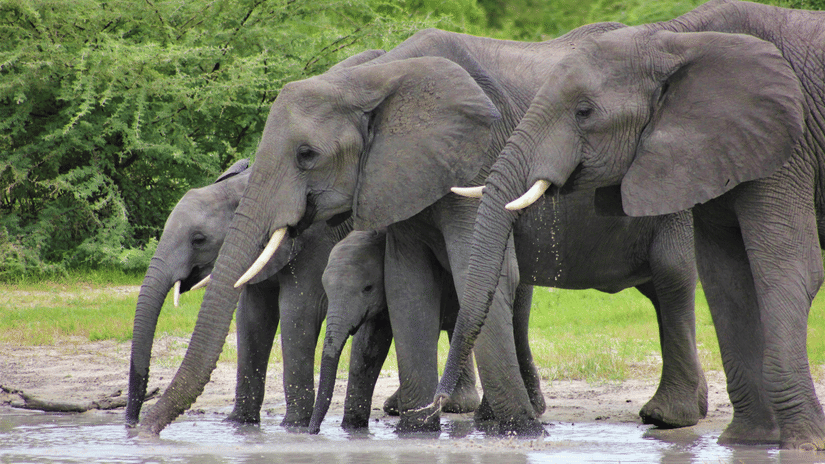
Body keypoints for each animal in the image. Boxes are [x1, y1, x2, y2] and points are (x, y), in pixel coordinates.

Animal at [126, 159, 352, 429]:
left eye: (199, 240)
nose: (132, 423)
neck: (241, 186)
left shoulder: (316, 240)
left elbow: (298, 311)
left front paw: (293, 426)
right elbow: (252, 316)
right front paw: (239, 423)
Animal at [437, 0, 825, 450]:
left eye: (584, 112)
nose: (435, 405)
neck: (671, 38)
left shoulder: (784, 144)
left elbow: (787, 271)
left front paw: (799, 445)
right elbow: (726, 280)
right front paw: (746, 442)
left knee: (672, 274)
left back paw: (667, 417)